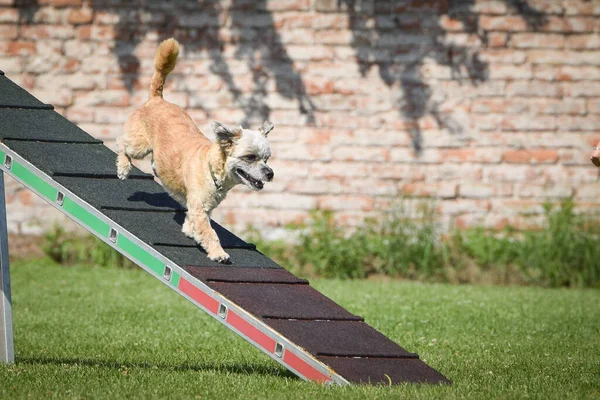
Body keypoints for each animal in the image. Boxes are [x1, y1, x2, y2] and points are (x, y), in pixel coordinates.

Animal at [116, 37, 276, 262]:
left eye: (267, 159)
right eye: (250, 157)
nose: (270, 174)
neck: (212, 168)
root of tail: (157, 99)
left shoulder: (201, 207)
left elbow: (194, 222)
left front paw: (189, 230)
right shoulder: (200, 209)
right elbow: (209, 232)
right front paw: (218, 253)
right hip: (139, 145)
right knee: (121, 144)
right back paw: (123, 168)